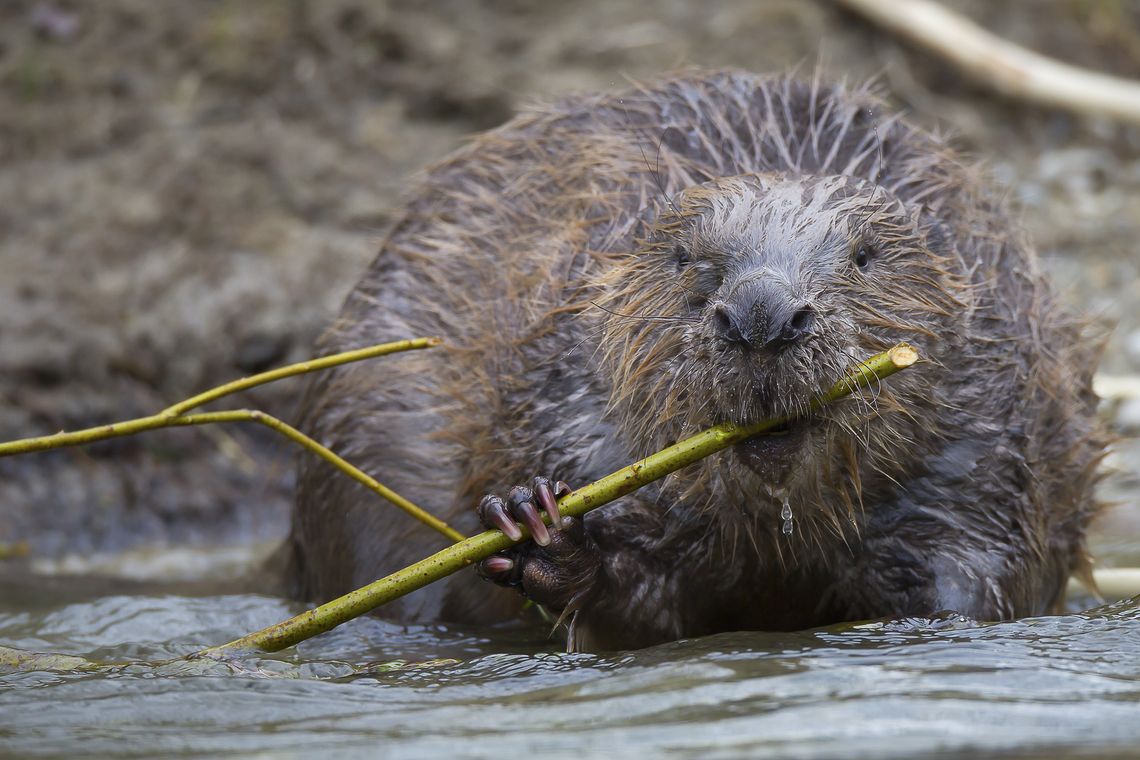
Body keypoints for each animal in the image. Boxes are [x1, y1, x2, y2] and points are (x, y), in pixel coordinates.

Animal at [289, 71, 1108, 651]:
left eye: (866, 256)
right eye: (686, 257)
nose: (762, 317)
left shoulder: (990, 423)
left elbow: (976, 565)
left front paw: (934, 623)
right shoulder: (577, 406)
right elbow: (644, 604)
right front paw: (538, 529)